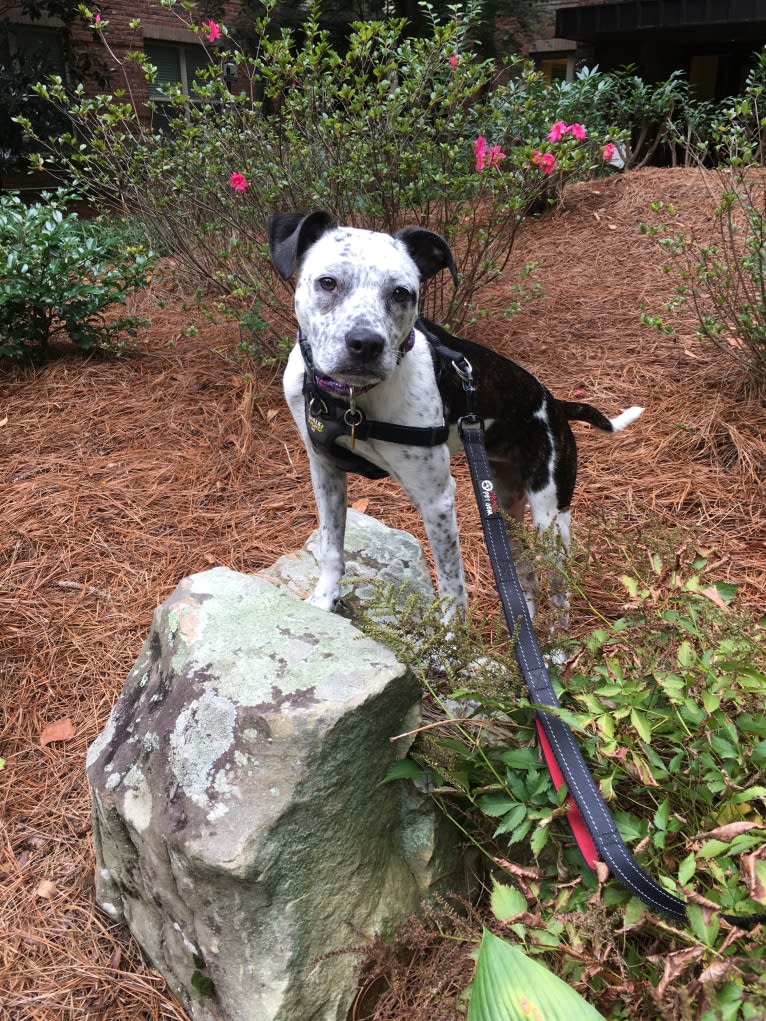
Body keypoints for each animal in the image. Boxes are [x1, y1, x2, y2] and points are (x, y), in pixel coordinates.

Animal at [269, 211, 641, 616]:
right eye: (328, 282)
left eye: (401, 293)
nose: (366, 344)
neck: (349, 400)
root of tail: (556, 404)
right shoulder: (326, 472)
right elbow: (332, 549)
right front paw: (323, 601)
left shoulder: (437, 501)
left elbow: (452, 590)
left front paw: (452, 634)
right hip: (505, 513)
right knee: (524, 571)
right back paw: (523, 615)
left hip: (551, 517)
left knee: (560, 585)